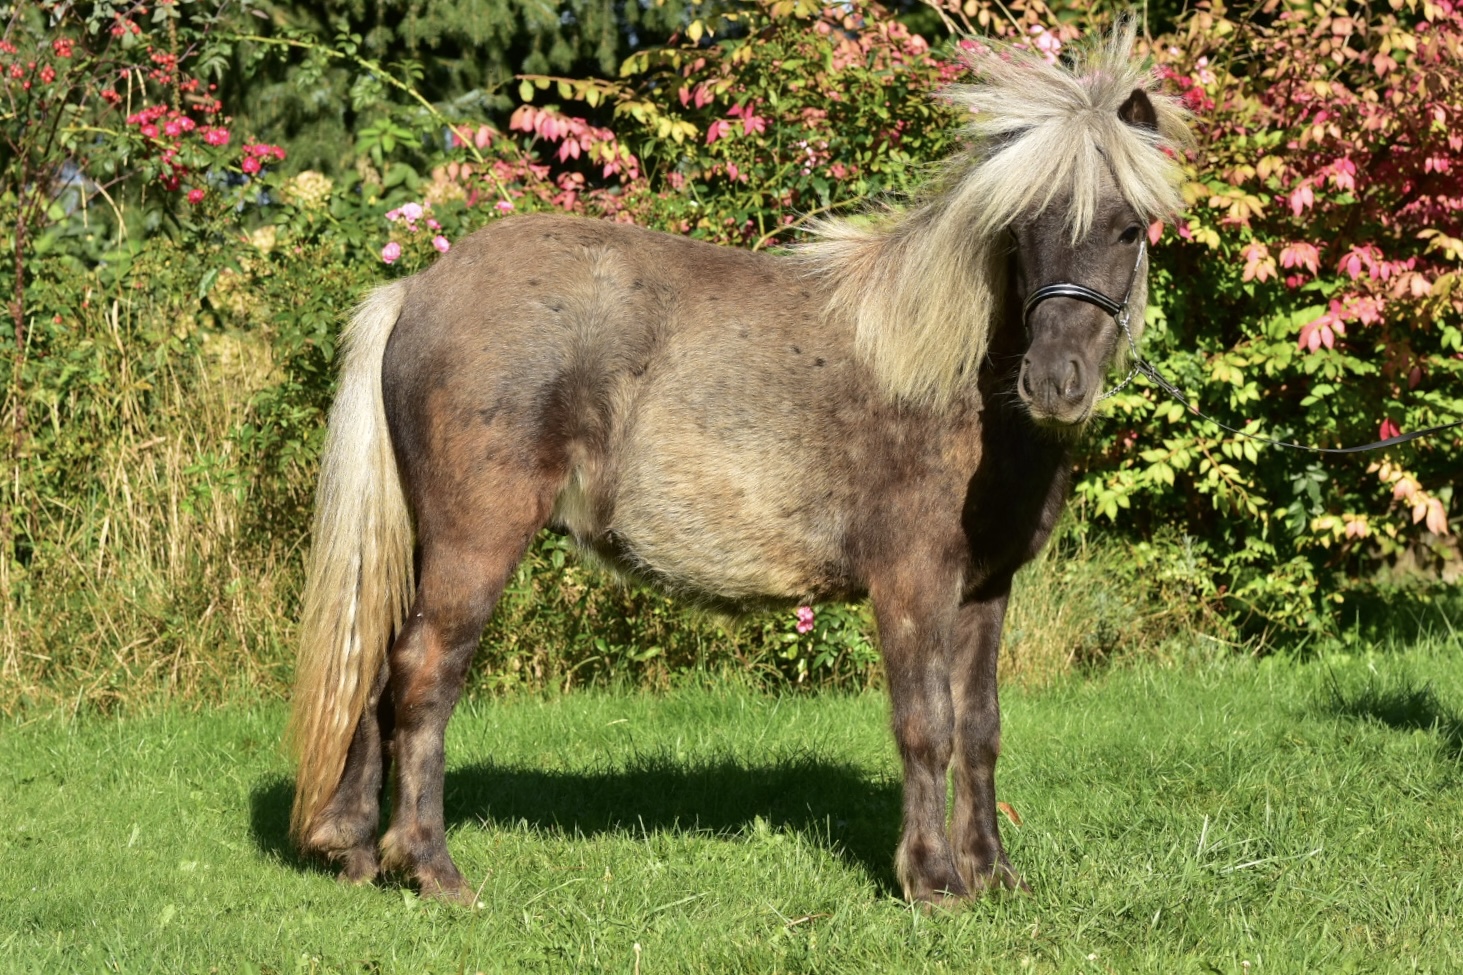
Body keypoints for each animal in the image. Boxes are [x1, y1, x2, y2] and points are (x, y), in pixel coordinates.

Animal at [287, 22, 1193, 905]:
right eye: (1023, 229)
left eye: (1129, 227)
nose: (1054, 382)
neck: (947, 377)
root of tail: (416, 289)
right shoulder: (911, 585)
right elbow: (925, 725)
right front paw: (933, 879)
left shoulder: (984, 590)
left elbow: (978, 730)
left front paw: (992, 872)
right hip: (475, 544)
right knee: (422, 673)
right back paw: (429, 865)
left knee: (376, 665)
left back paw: (355, 847)